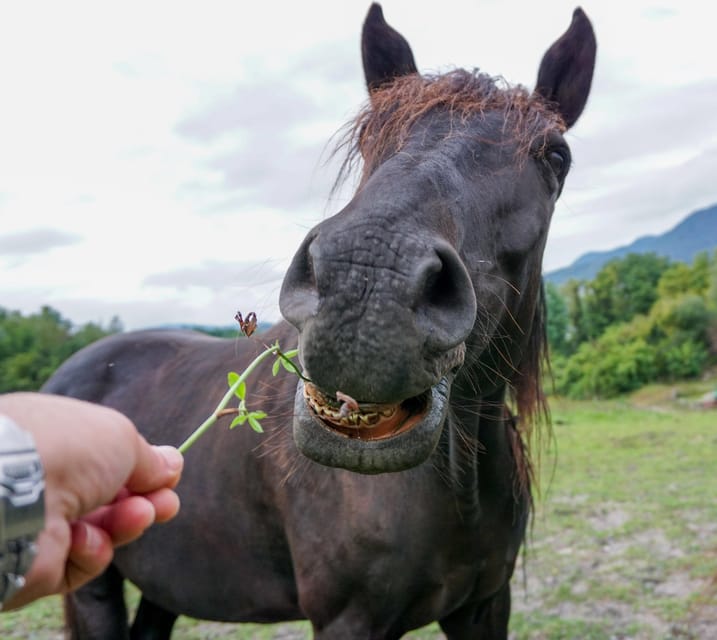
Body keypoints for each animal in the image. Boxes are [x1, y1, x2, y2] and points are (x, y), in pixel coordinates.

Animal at [45, 4, 595, 638]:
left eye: (556, 156)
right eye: (367, 133)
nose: (368, 279)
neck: (458, 490)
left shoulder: (484, 605)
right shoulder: (347, 619)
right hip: (94, 588)